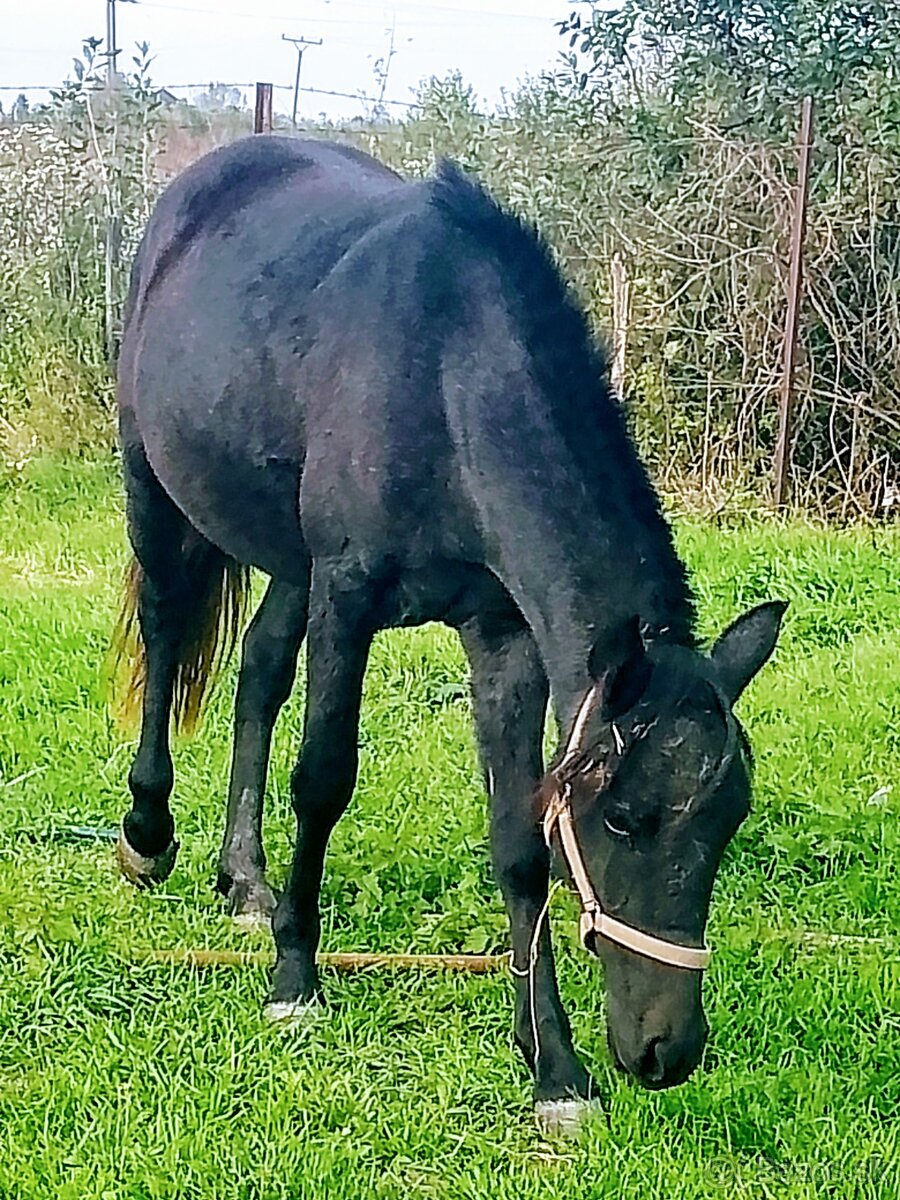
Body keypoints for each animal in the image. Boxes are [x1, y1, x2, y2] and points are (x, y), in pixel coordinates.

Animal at [112, 136, 787, 1128]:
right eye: (623, 819)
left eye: (730, 819)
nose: (666, 1052)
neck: (446, 375)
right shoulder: (348, 594)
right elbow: (323, 780)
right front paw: (295, 977)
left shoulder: (501, 635)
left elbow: (518, 840)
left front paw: (553, 1066)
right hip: (156, 491)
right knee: (165, 640)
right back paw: (149, 834)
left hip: (287, 559)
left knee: (259, 672)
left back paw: (245, 879)